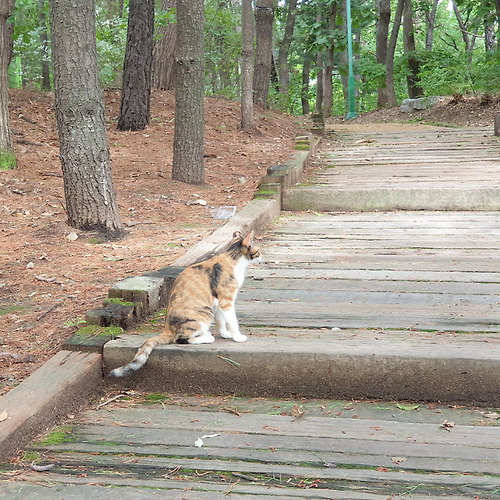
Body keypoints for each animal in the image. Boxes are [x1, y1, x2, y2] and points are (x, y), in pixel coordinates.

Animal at [107, 232, 260, 376]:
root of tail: (167, 330)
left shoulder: (217, 304)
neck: (233, 259)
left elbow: (221, 321)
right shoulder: (226, 300)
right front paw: (237, 337)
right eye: (258, 250)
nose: (261, 256)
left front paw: (225, 334)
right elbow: (232, 321)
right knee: (181, 339)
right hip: (203, 315)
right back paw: (207, 338)